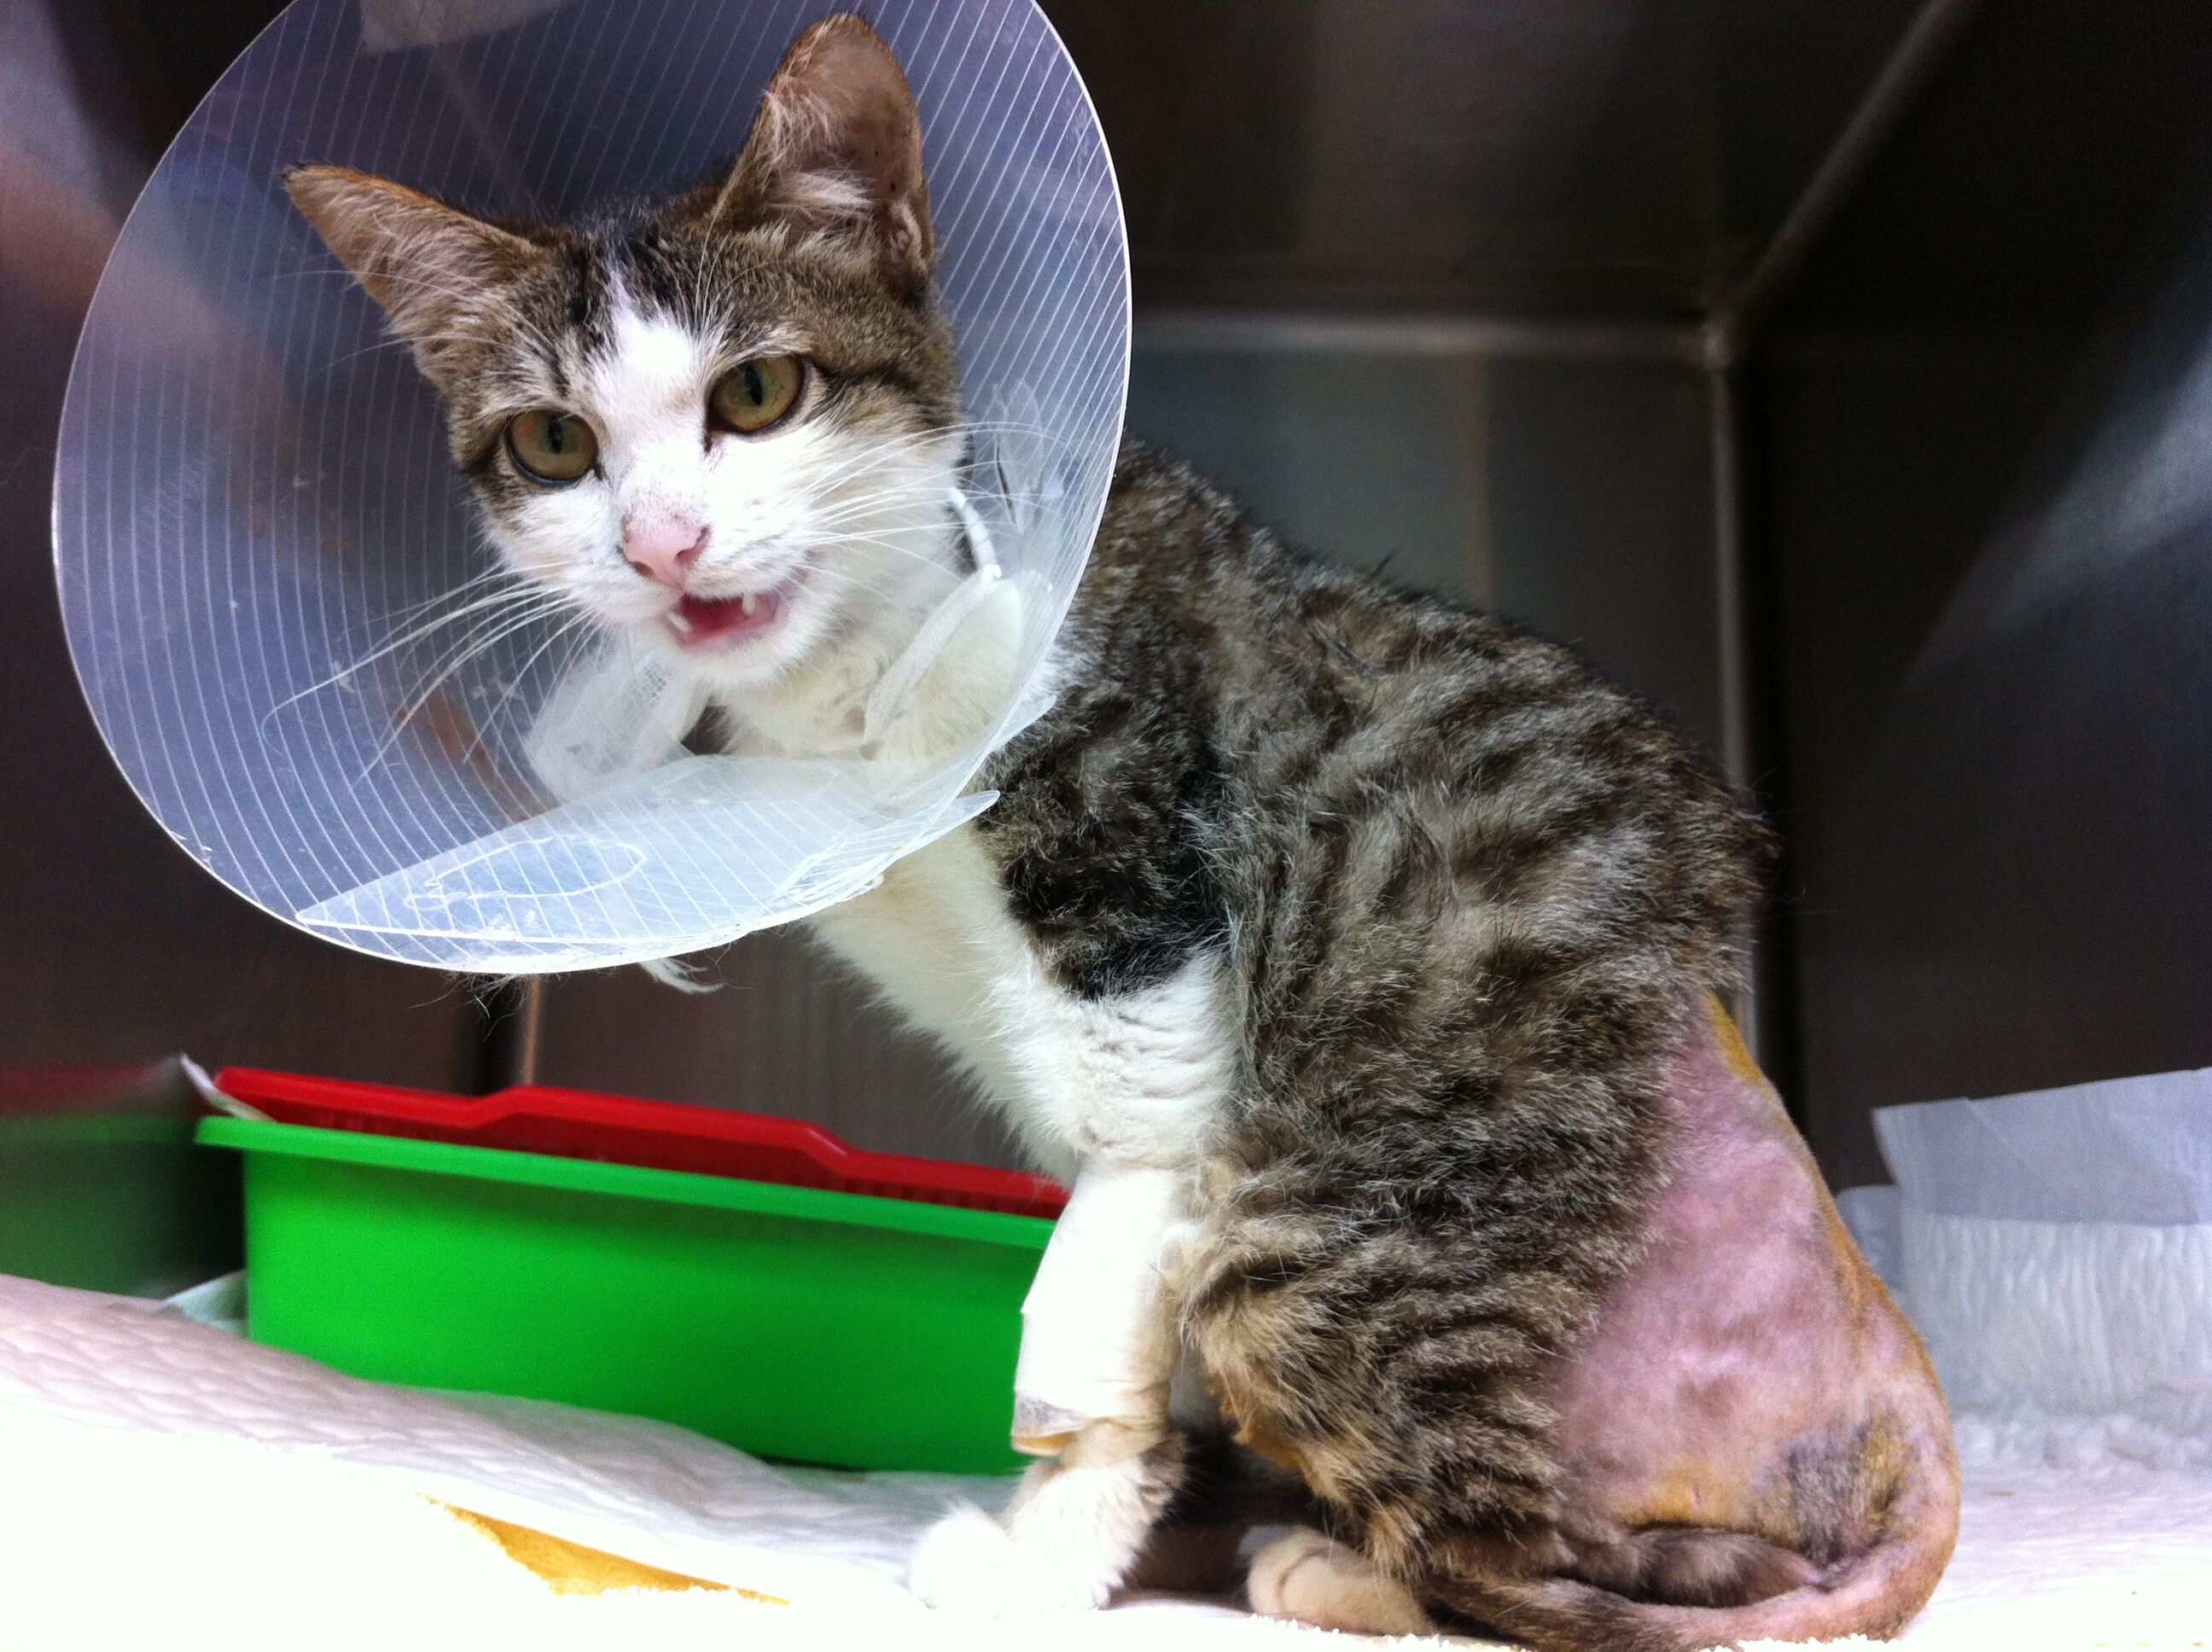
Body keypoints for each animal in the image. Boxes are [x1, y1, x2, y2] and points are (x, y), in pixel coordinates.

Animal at [287, 14, 1959, 1648]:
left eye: (755, 396)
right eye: (553, 444)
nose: (663, 544)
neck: (849, 695)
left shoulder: (1142, 904)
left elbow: (1120, 1211)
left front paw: (1043, 1563)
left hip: (1324, 1244)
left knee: (1553, 1561)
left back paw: (1341, 1571)